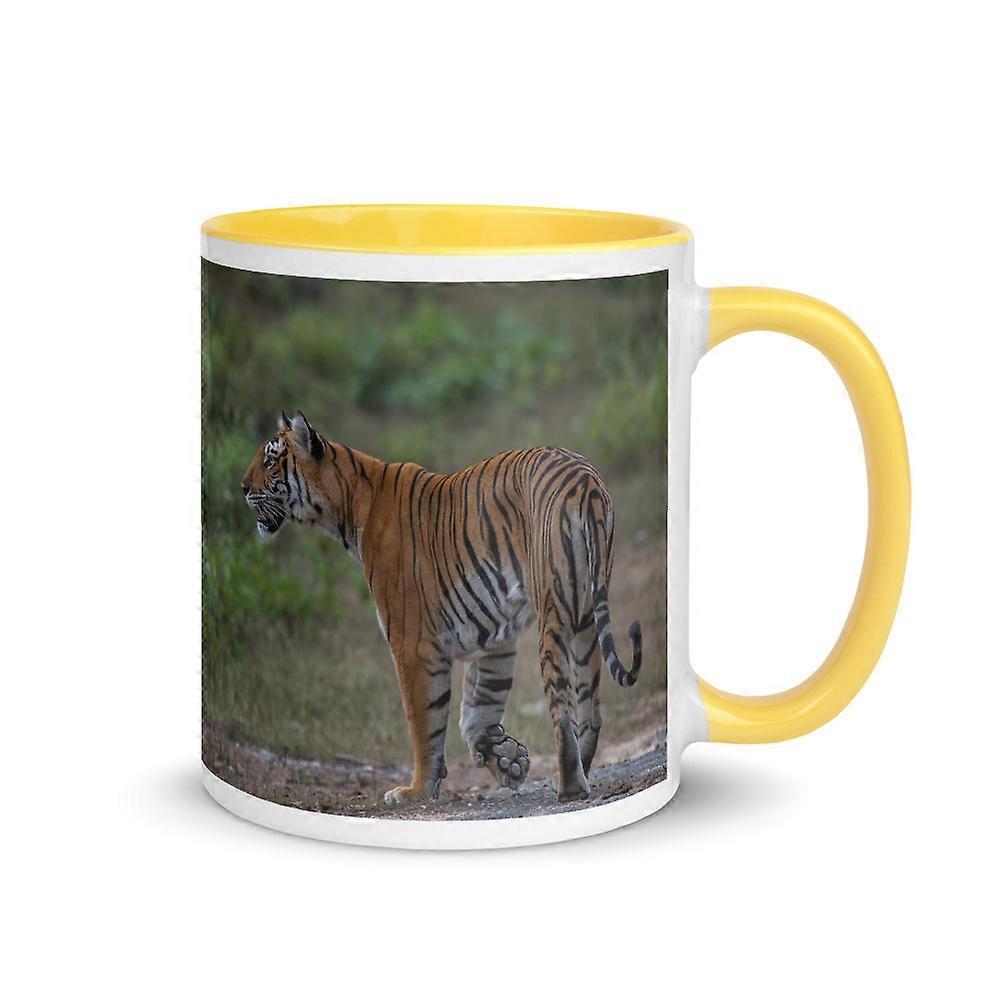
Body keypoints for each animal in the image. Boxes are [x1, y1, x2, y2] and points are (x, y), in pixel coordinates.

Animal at [240, 410, 641, 804]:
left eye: (270, 460)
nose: (242, 488)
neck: (349, 502)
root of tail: (585, 481)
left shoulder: (412, 643)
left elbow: (424, 721)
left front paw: (416, 790)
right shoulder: (494, 635)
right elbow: (479, 705)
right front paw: (507, 760)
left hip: (554, 611)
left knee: (560, 705)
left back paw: (570, 786)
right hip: (585, 616)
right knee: (590, 709)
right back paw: (583, 770)